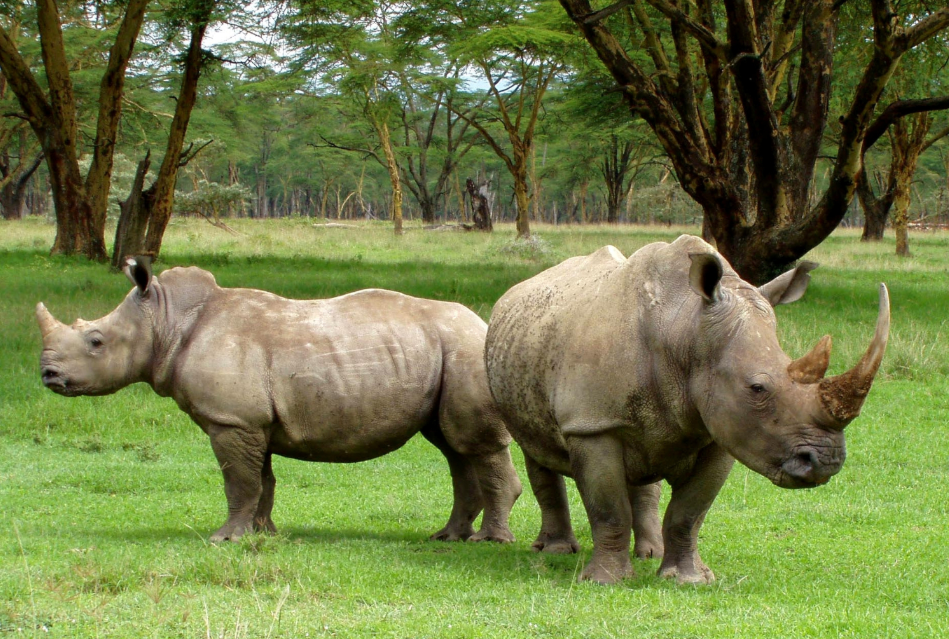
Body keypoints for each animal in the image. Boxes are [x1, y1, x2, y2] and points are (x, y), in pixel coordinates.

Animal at [37, 259, 522, 544]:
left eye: (95, 341)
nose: (48, 375)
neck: (166, 321)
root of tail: (484, 322)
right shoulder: (251, 421)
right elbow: (261, 481)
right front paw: (263, 534)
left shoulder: (230, 419)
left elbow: (239, 481)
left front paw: (224, 539)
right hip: (447, 352)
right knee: (453, 446)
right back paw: (448, 537)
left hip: (465, 350)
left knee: (473, 444)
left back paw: (488, 542)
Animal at [485, 235, 889, 584]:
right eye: (757, 388)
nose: (826, 462)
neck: (685, 331)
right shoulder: (592, 423)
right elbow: (608, 508)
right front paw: (604, 582)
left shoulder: (722, 432)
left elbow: (690, 511)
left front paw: (688, 579)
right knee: (537, 451)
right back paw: (555, 551)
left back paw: (648, 553)